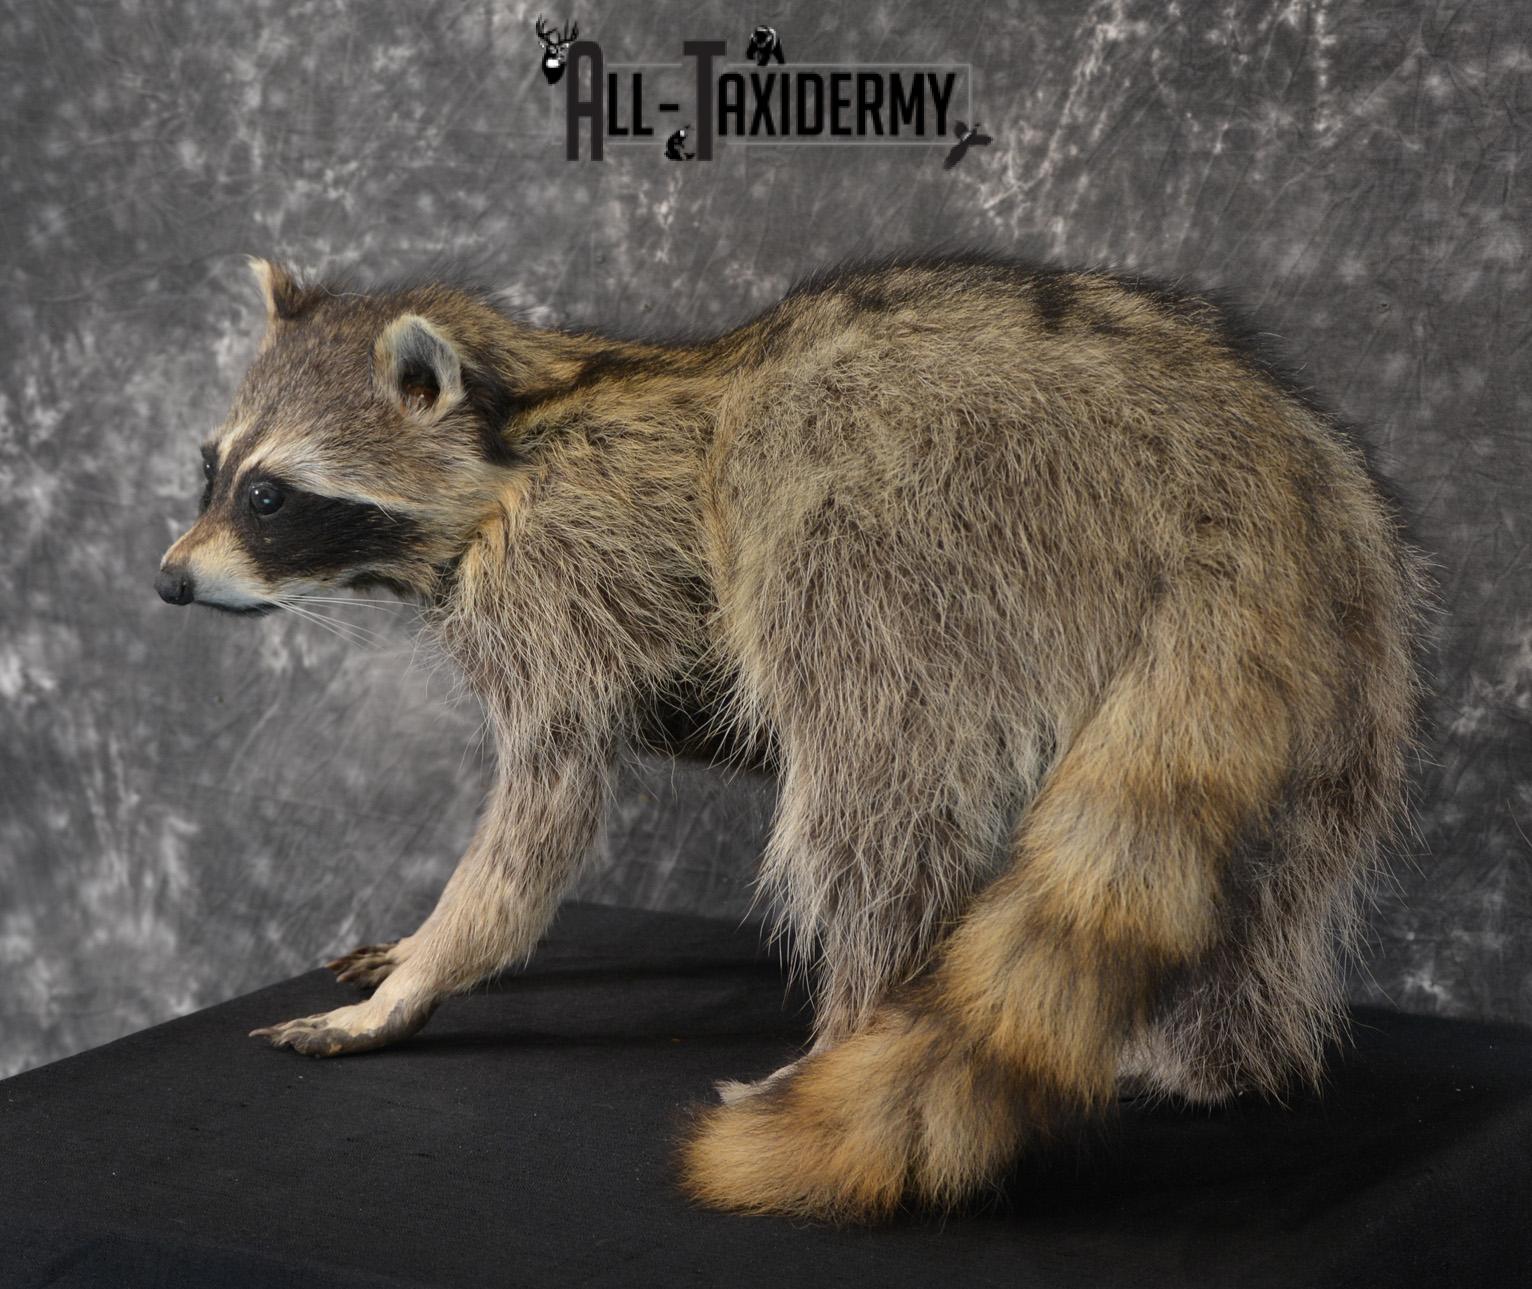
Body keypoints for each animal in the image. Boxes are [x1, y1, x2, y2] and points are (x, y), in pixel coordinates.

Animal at [157, 255, 1428, 1222]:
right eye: (209, 469)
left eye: (270, 496)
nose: (168, 581)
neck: (517, 428)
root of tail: (1230, 466)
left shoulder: (561, 581)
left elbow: (542, 811)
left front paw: (428, 965)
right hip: (1352, 629)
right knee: (1272, 880)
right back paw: (1215, 1055)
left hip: (923, 517)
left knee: (871, 785)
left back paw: (853, 1024)